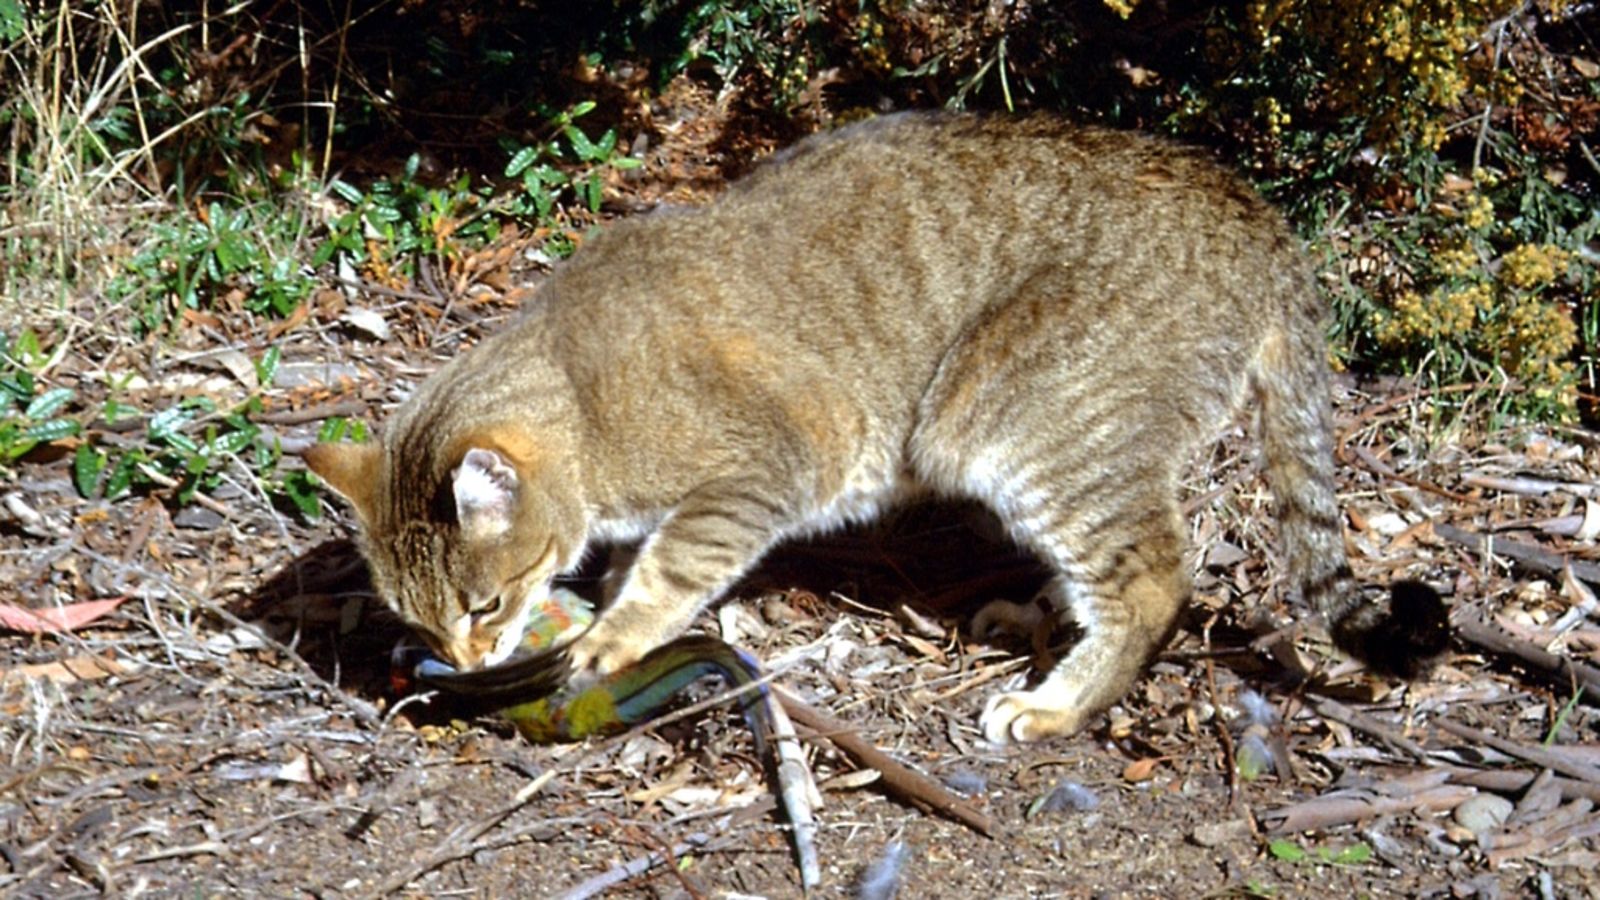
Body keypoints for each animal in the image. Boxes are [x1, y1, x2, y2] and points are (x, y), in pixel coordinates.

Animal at [305, 112, 1446, 739]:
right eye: (421, 621)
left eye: (486, 602)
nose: (464, 656)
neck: (581, 393)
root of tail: (1257, 215)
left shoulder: (763, 469)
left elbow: (671, 568)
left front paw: (613, 636)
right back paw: (1038, 615)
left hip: (1012, 421)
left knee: (1156, 574)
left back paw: (1059, 702)